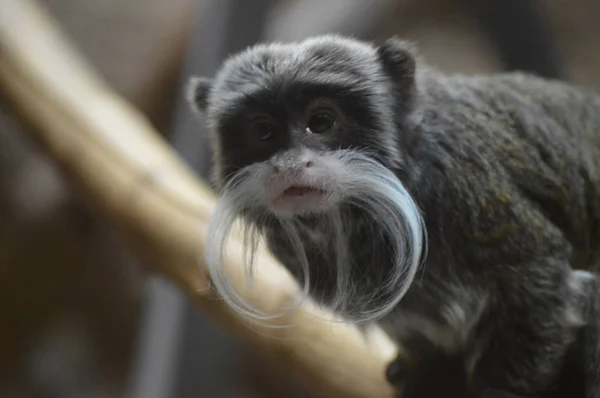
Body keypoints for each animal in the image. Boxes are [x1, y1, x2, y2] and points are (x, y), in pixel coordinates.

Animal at [186, 35, 600, 398]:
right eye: (263, 131)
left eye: (321, 121)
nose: (290, 165)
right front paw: (426, 375)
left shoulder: (468, 186)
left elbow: (540, 281)